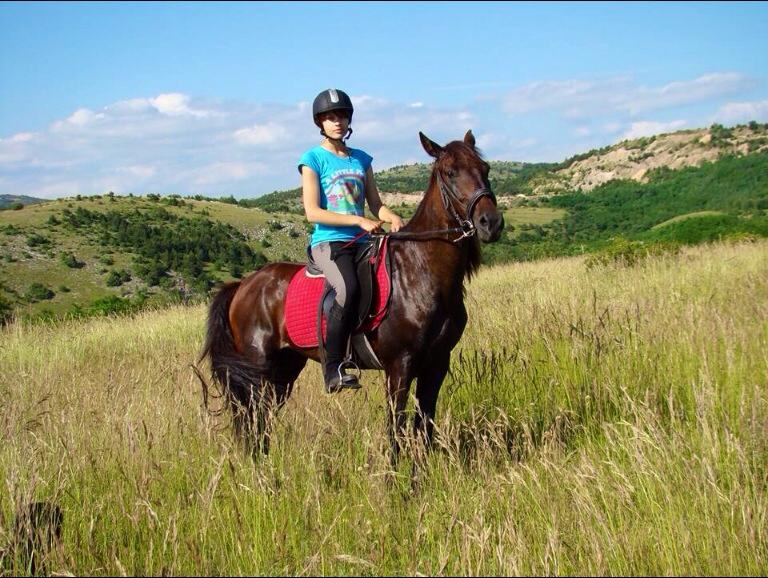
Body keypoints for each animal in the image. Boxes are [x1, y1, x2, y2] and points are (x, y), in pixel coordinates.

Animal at [199, 129, 504, 464]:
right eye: (450, 172)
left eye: (485, 168)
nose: (491, 223)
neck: (420, 270)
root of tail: (243, 284)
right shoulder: (399, 366)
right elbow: (396, 429)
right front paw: (396, 476)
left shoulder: (437, 363)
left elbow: (424, 425)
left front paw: (421, 473)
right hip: (258, 370)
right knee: (253, 419)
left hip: (284, 369)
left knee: (261, 422)